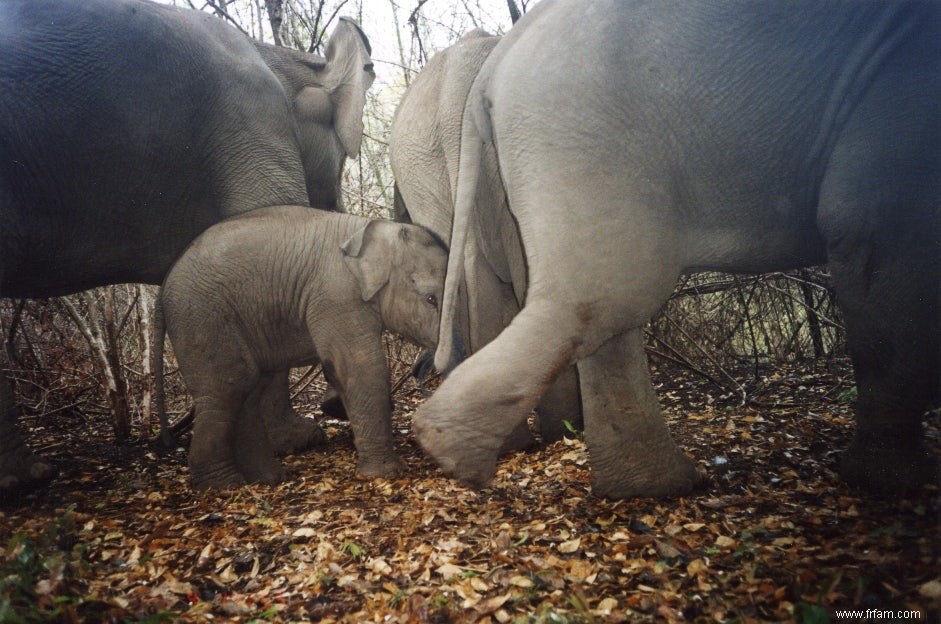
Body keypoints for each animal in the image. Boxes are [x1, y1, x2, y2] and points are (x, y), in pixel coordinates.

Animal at [154, 207, 456, 490]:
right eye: (430, 299)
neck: (370, 229)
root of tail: (164, 285)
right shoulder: (336, 296)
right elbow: (360, 367)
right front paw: (386, 474)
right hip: (203, 318)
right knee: (231, 386)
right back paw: (225, 485)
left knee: (250, 387)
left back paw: (266, 478)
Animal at [414, 0, 936, 500]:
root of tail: (496, 61)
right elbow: (875, 234)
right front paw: (888, 484)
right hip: (581, 135)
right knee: (604, 298)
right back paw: (454, 452)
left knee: (603, 308)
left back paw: (650, 486)